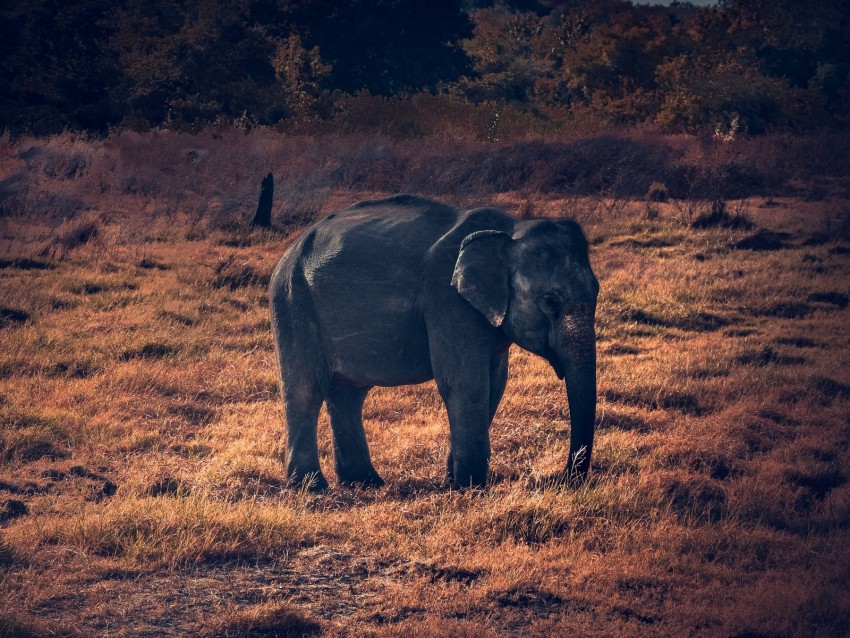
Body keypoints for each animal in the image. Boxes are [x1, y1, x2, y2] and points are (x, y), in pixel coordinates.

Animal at [270, 194, 596, 490]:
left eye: (596, 293)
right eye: (550, 301)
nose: (564, 478)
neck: (510, 229)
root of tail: (291, 251)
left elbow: (495, 384)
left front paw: (455, 480)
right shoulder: (447, 301)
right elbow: (464, 382)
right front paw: (469, 486)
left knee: (348, 393)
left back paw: (364, 482)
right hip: (293, 302)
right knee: (305, 389)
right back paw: (312, 487)